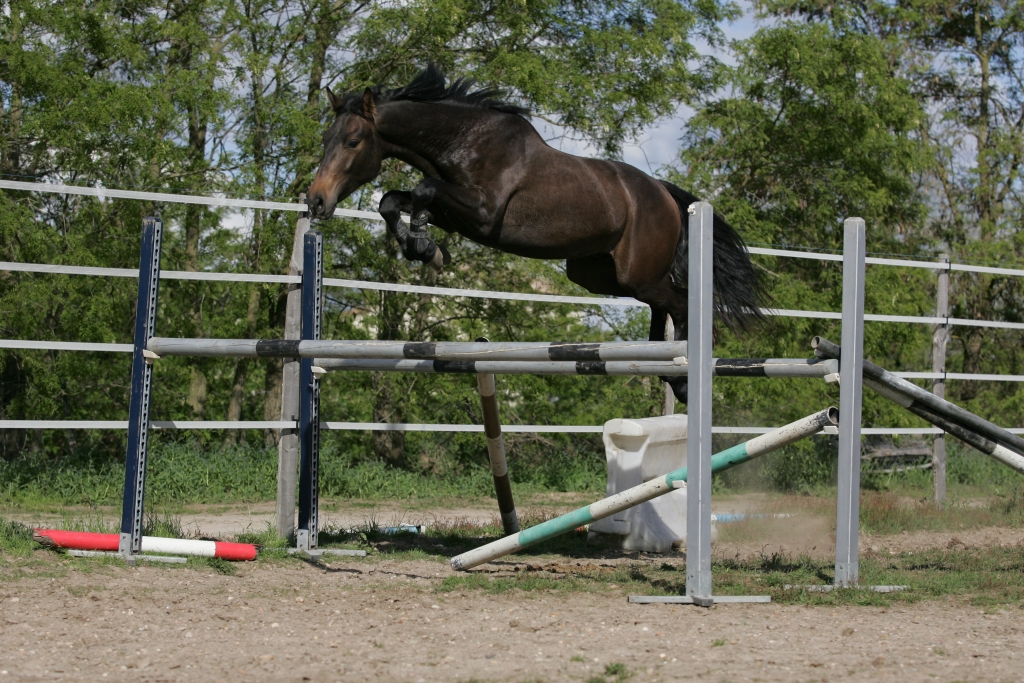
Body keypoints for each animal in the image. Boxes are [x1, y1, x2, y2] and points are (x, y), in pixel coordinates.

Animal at [307, 63, 765, 401]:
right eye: (326, 137)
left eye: (352, 141)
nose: (316, 201)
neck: (463, 141)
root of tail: (665, 194)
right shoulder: (457, 216)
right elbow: (392, 201)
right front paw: (425, 249)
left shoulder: (483, 213)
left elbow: (422, 190)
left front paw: (423, 245)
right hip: (602, 275)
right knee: (662, 304)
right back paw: (661, 361)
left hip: (636, 272)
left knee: (681, 303)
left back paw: (682, 376)